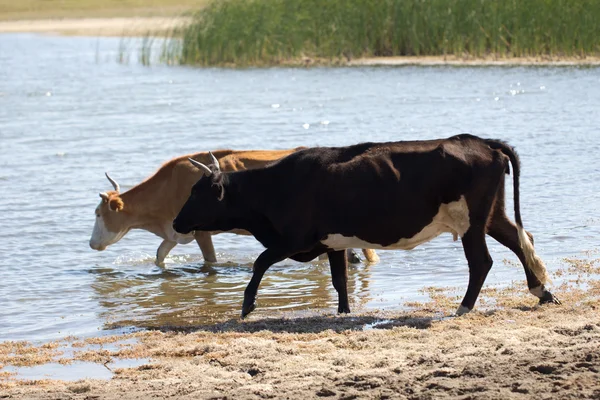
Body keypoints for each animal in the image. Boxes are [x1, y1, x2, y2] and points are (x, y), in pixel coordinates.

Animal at [89, 148, 378, 268]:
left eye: (98, 213)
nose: (91, 243)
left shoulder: (200, 232)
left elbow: (211, 261)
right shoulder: (175, 231)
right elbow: (160, 254)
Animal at [171, 136, 560, 318]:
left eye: (197, 193)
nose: (176, 221)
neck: (277, 186)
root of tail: (478, 140)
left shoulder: (294, 239)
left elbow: (260, 261)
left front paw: (248, 305)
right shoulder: (332, 242)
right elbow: (340, 279)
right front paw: (344, 312)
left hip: (471, 222)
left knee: (481, 262)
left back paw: (464, 307)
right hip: (492, 215)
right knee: (519, 239)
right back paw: (542, 292)